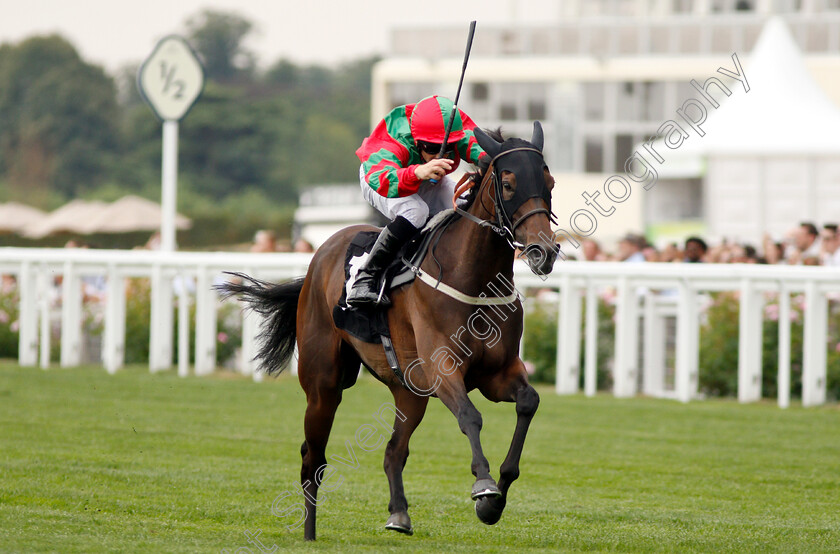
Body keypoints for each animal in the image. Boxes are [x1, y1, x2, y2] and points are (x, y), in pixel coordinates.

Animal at [220, 122, 556, 540]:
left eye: (550, 182)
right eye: (508, 184)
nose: (545, 252)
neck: (474, 278)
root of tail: (322, 251)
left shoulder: (498, 372)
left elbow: (528, 402)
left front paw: (495, 501)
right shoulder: (444, 368)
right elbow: (470, 416)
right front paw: (483, 486)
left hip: (408, 391)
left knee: (393, 451)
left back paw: (398, 514)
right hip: (323, 384)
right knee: (313, 457)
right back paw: (309, 532)